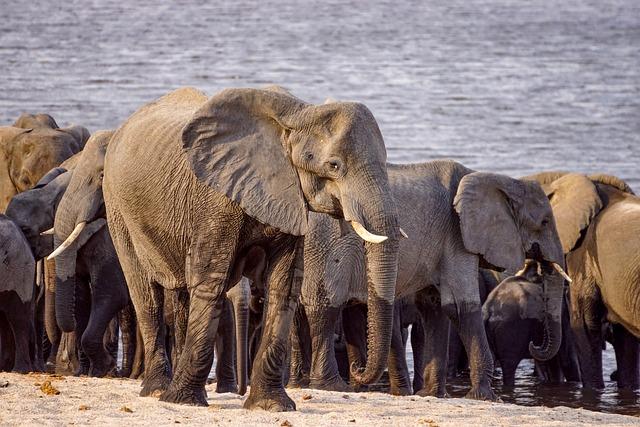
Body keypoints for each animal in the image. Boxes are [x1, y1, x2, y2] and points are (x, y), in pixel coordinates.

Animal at [100, 87, 400, 412]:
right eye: (334, 165)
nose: (357, 370)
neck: (300, 113)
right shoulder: (216, 199)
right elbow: (211, 282)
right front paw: (183, 401)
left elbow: (284, 286)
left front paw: (272, 406)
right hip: (117, 207)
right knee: (146, 295)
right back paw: (158, 391)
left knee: (178, 296)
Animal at [298, 160, 564, 402]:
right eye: (544, 222)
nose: (535, 344)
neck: (496, 180)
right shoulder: (457, 236)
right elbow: (461, 306)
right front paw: (486, 398)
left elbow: (435, 306)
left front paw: (431, 394)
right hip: (325, 246)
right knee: (324, 308)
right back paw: (330, 386)